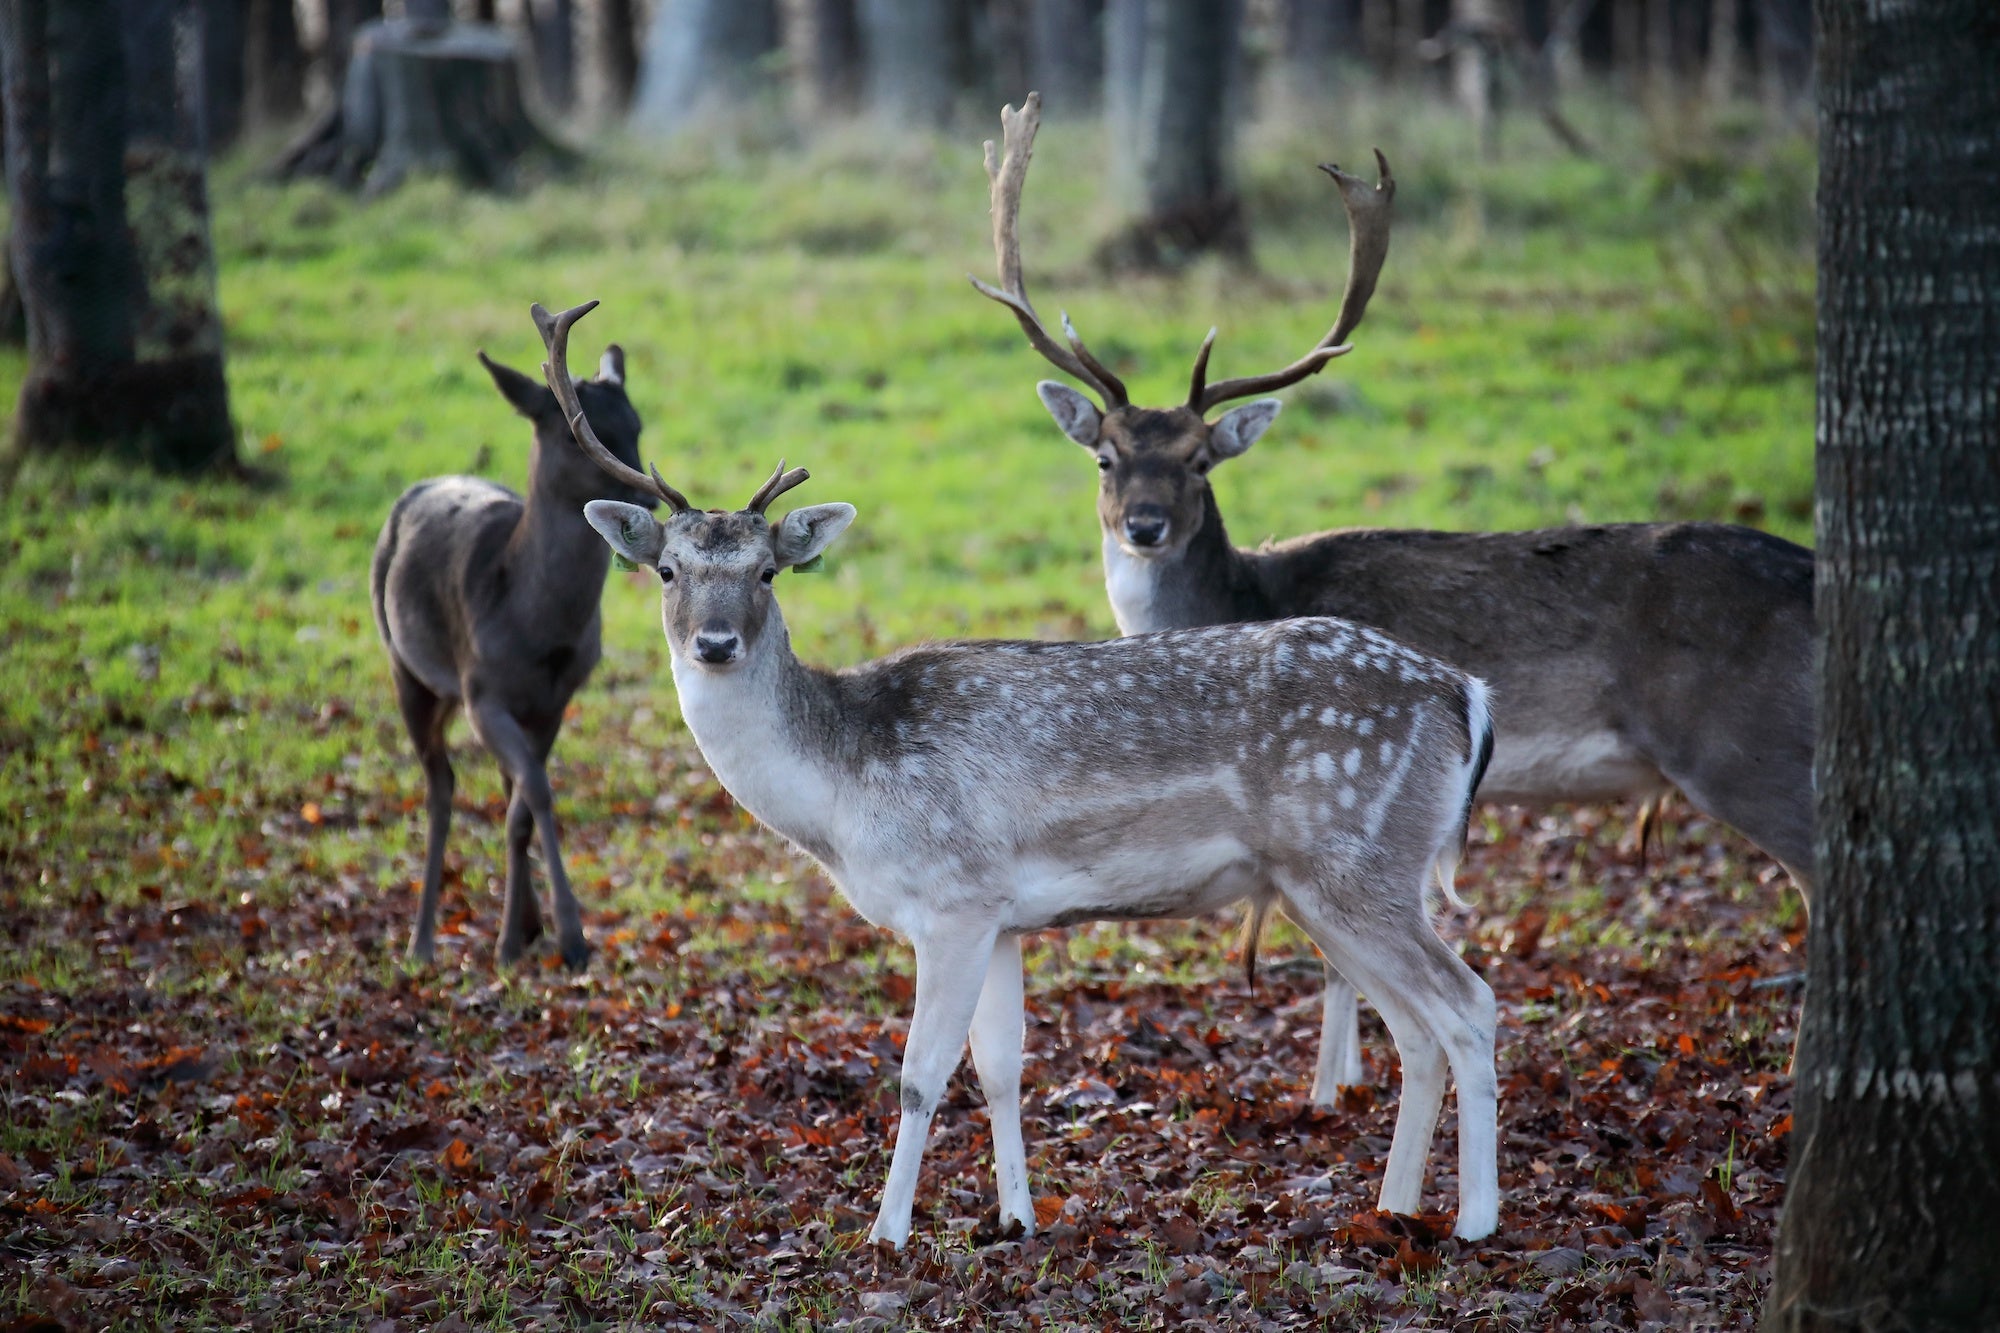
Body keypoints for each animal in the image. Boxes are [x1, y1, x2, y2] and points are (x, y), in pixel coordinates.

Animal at [369, 331, 654, 971]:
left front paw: (522, 934)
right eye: (575, 434)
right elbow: (539, 792)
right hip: (409, 670)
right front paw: (570, 938)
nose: (644, 500)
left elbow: (524, 803)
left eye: (637, 424)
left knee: (501, 787)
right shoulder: (482, 693)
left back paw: (520, 925)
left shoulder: (556, 699)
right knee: (441, 788)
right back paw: (422, 941)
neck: (539, 631)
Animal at [533, 298, 1505, 1246]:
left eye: (769, 570)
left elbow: (921, 1073)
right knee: (1417, 1031)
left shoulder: (953, 899)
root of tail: (1466, 694)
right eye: (666, 568)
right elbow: (1000, 1066)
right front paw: (1016, 1217)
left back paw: (1474, 1219)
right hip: (1323, 882)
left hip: (1357, 855)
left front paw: (886, 1231)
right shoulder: (999, 914)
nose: (715, 642)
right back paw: (1393, 1210)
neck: (843, 798)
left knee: (1469, 1003)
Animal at [971, 93, 1815, 1100]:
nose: (1143, 524)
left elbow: (1342, 959)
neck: (1246, 590)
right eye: (1105, 456)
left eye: (1200, 462)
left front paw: (1330, 1089)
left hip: (1742, 744)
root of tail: (1817, 575)